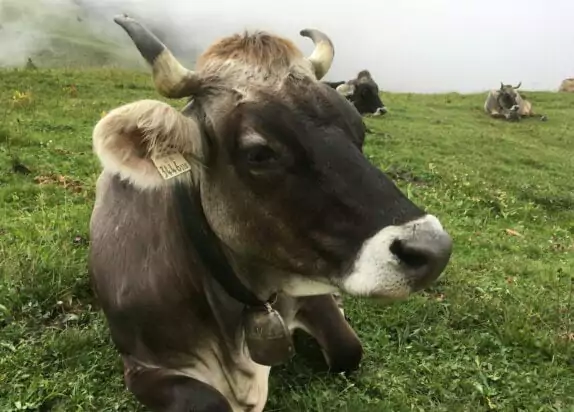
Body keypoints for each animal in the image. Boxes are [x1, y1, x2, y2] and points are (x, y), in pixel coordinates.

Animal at [90, 13, 454, 412]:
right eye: (259, 153)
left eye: (359, 130)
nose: (434, 249)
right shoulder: (142, 364)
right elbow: (208, 401)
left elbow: (348, 350)